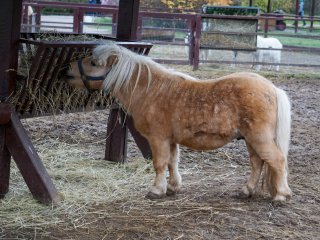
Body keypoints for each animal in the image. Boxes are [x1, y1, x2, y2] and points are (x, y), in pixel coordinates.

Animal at [66, 44, 292, 202]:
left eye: (94, 63)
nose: (68, 69)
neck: (150, 90)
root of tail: (272, 88)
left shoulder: (158, 139)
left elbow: (159, 164)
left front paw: (156, 190)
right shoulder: (171, 140)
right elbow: (172, 162)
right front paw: (173, 187)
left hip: (259, 138)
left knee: (277, 161)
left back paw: (280, 195)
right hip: (251, 140)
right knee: (257, 163)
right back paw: (246, 190)